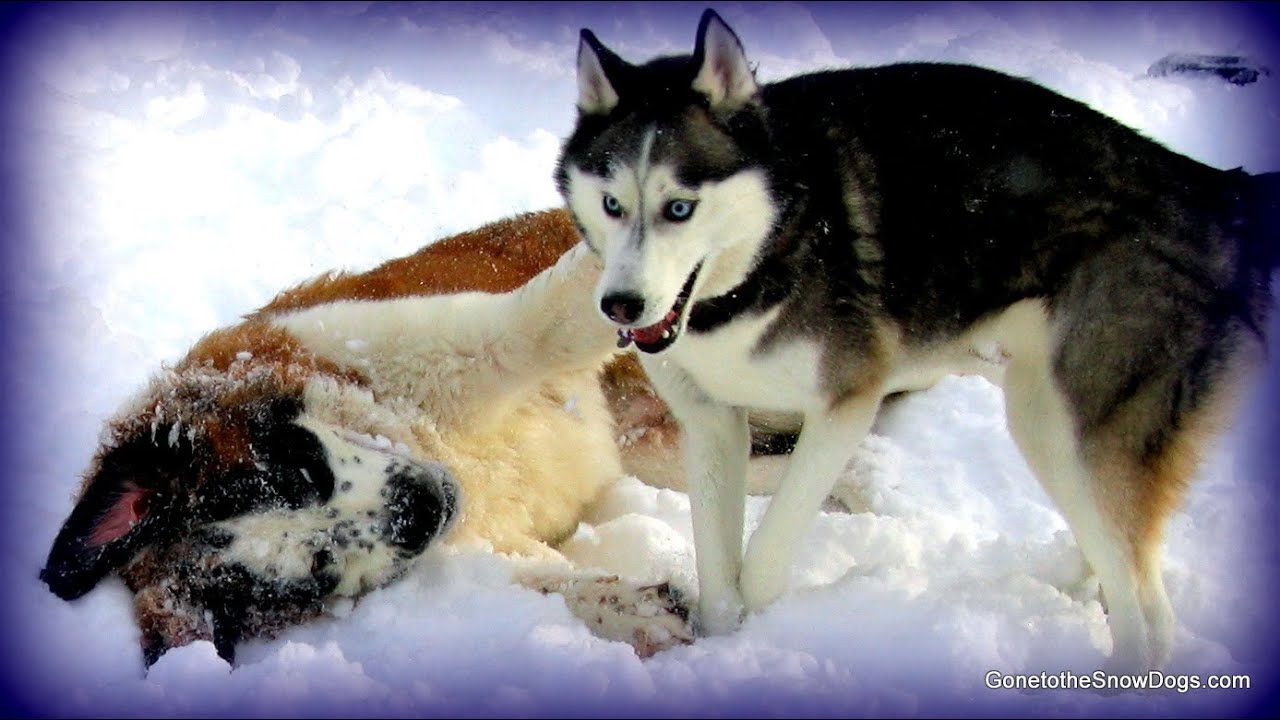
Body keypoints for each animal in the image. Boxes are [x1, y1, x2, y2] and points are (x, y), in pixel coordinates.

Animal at [42, 208, 732, 666]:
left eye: (298, 466)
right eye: (318, 570)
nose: (418, 510)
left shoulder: (429, 342)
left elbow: (537, 324)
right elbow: (538, 582)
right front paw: (633, 609)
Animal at [555, 5, 1274, 671]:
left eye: (680, 207)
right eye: (613, 203)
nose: (620, 305)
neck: (769, 254)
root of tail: (1215, 187)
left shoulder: (847, 404)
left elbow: (764, 556)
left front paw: (755, 633)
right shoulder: (710, 421)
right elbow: (719, 567)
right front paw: (718, 638)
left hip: (1086, 415)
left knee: (1149, 611)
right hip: (1044, 415)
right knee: (1113, 545)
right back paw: (1064, 578)